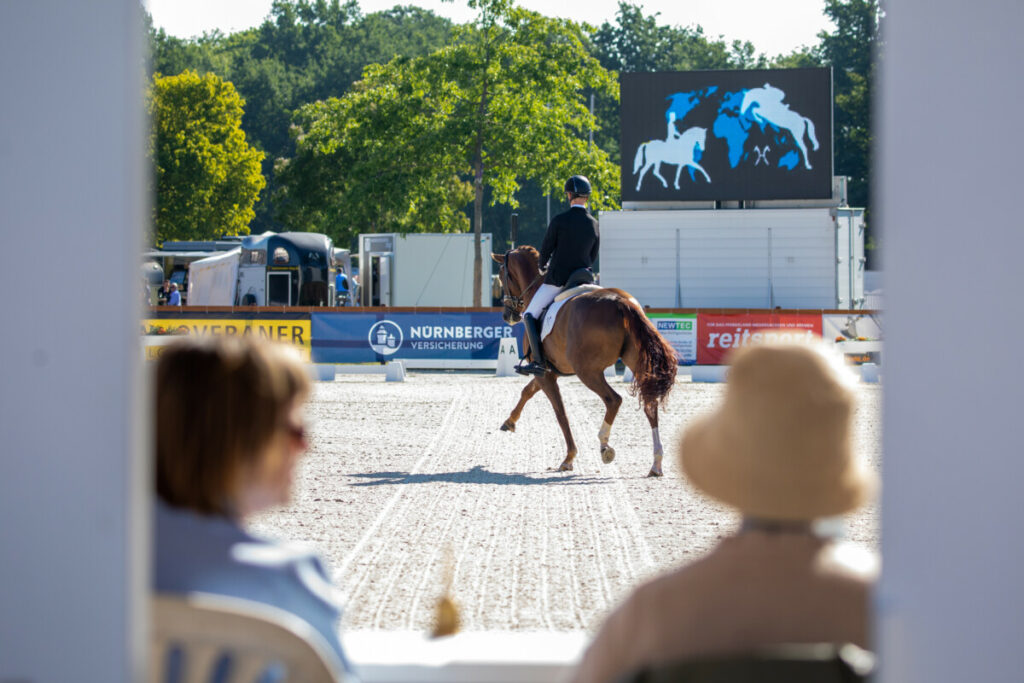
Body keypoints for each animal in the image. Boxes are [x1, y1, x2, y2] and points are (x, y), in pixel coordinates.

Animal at [489, 248, 675, 479]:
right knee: (650, 404)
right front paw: (510, 421)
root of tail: (621, 303)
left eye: (502, 275)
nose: (508, 316)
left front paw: (569, 458)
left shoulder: (544, 373)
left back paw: (605, 446)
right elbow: (527, 391)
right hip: (634, 363)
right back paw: (656, 463)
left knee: (613, 400)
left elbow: (560, 413)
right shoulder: (549, 371)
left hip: (588, 372)